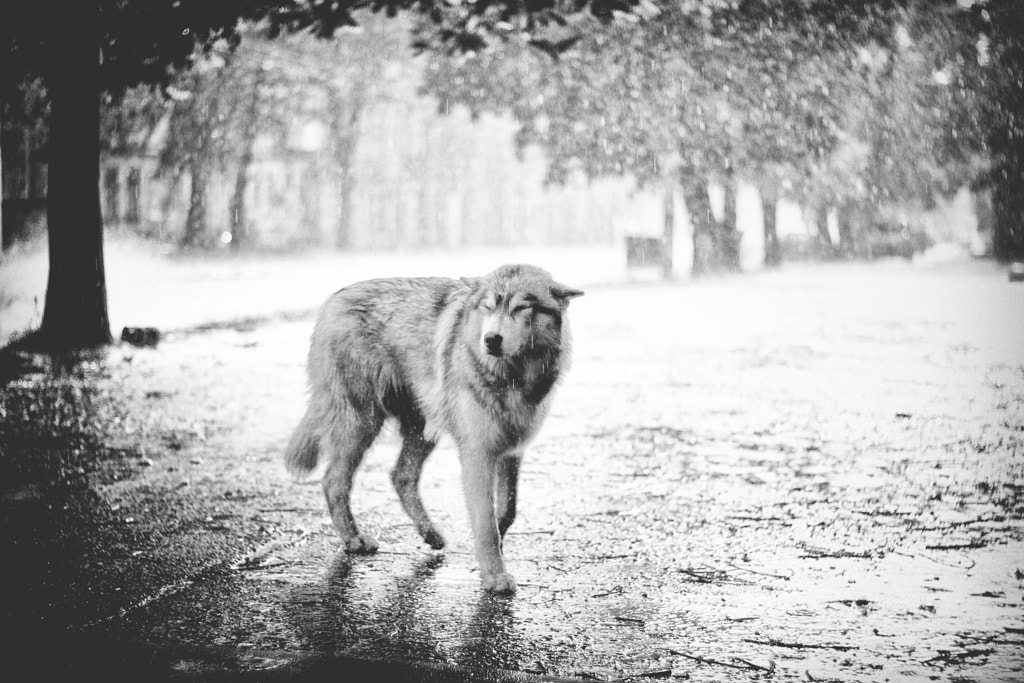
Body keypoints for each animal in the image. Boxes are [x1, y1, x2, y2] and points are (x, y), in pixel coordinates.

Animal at [284, 264, 581, 593]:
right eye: (488, 307)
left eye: (520, 308)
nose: (491, 339)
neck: (511, 377)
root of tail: (332, 300)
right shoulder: (478, 455)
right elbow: (485, 522)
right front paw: (495, 577)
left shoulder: (512, 451)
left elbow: (506, 512)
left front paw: (496, 557)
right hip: (363, 423)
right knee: (334, 481)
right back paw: (354, 539)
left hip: (422, 431)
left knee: (400, 476)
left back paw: (431, 534)